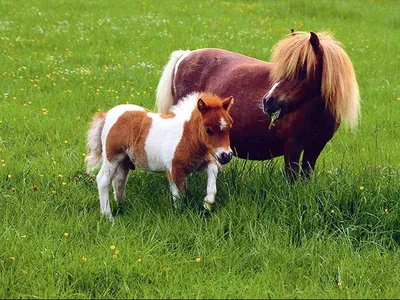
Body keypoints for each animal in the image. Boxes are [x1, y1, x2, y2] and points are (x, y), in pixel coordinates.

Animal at [85, 91, 233, 218]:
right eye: (208, 130)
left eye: (230, 127)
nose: (226, 156)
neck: (185, 136)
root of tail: (106, 115)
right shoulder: (175, 170)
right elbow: (180, 195)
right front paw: (180, 216)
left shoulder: (196, 164)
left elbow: (213, 169)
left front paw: (208, 202)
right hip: (112, 157)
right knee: (103, 180)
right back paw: (108, 216)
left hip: (124, 161)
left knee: (119, 181)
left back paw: (123, 206)